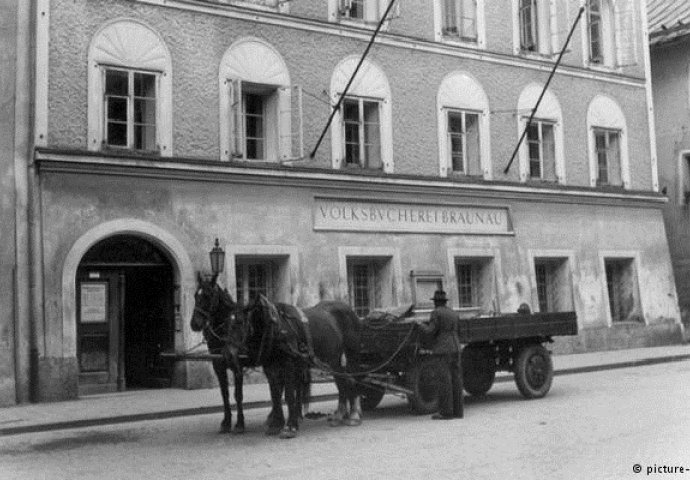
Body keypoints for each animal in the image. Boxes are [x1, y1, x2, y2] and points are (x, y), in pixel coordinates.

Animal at [227, 292, 366, 438]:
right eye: (227, 324)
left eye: (241, 322)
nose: (229, 355)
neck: (276, 327)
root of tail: (351, 311)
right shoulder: (270, 369)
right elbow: (275, 396)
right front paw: (276, 424)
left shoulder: (289, 366)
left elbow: (289, 396)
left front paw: (290, 426)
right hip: (333, 360)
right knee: (342, 380)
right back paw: (340, 414)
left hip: (351, 354)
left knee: (353, 378)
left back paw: (354, 414)